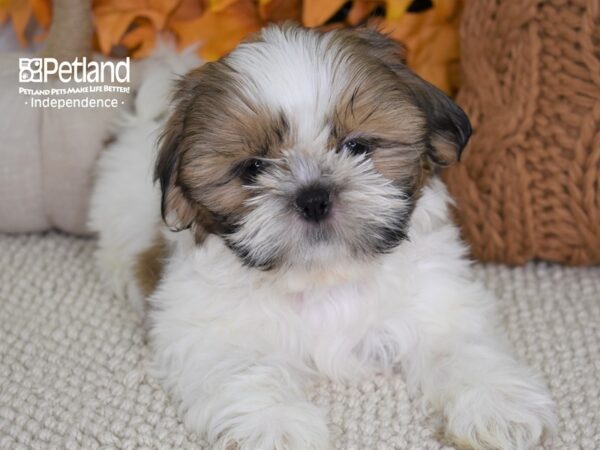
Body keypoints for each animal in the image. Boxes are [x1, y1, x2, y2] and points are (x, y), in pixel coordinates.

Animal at [90, 25, 556, 450]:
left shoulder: (436, 300)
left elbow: (460, 348)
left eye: (357, 147)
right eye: (253, 168)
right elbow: (247, 368)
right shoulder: (207, 329)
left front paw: (497, 405)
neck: (324, 279)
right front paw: (276, 427)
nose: (313, 196)